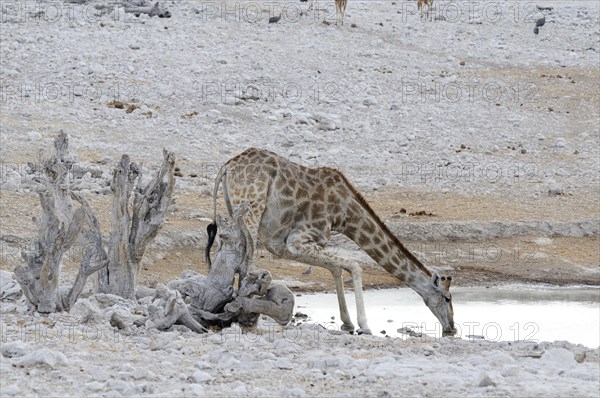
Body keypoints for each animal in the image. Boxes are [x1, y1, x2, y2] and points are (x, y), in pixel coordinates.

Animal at [206, 148, 454, 334]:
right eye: (447, 298)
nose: (452, 328)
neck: (344, 214)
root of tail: (227, 166)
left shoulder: (284, 245)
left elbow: (336, 268)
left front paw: (347, 323)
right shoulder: (297, 240)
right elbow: (355, 265)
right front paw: (364, 325)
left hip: (235, 211)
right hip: (252, 211)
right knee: (247, 263)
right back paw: (246, 318)